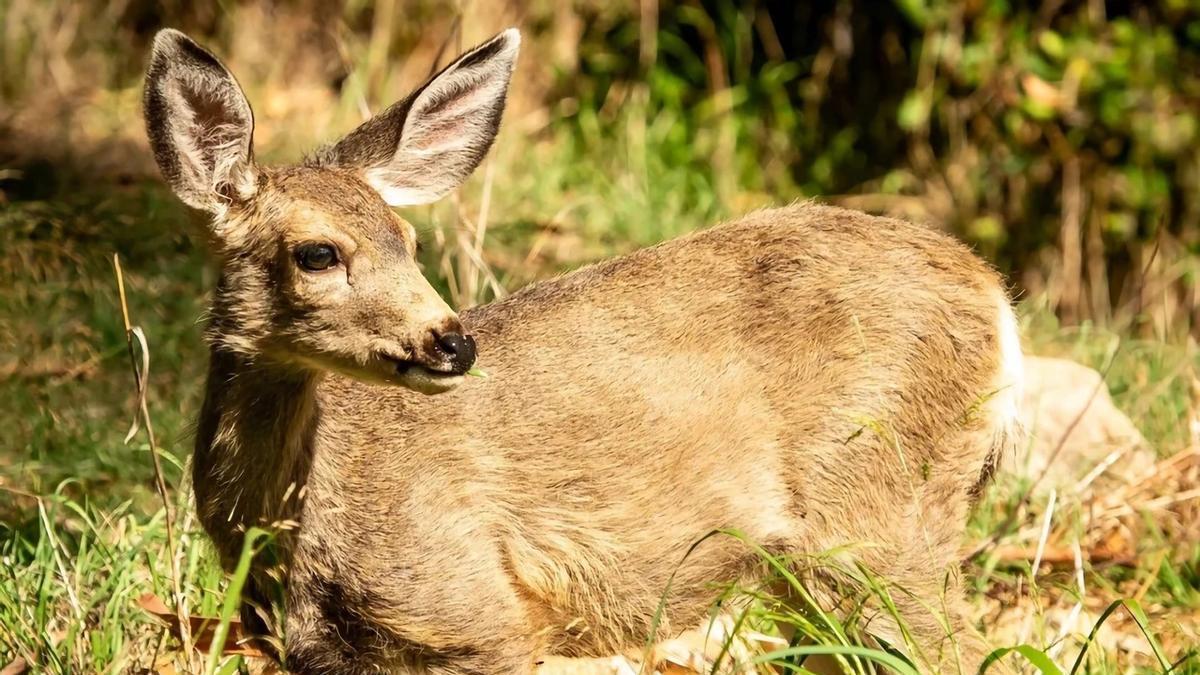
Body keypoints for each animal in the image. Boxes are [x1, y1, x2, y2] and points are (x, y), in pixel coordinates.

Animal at [143, 26, 1023, 675]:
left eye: (410, 242)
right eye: (318, 253)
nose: (452, 341)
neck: (293, 534)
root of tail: (996, 298)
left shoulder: (483, 610)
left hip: (878, 508)